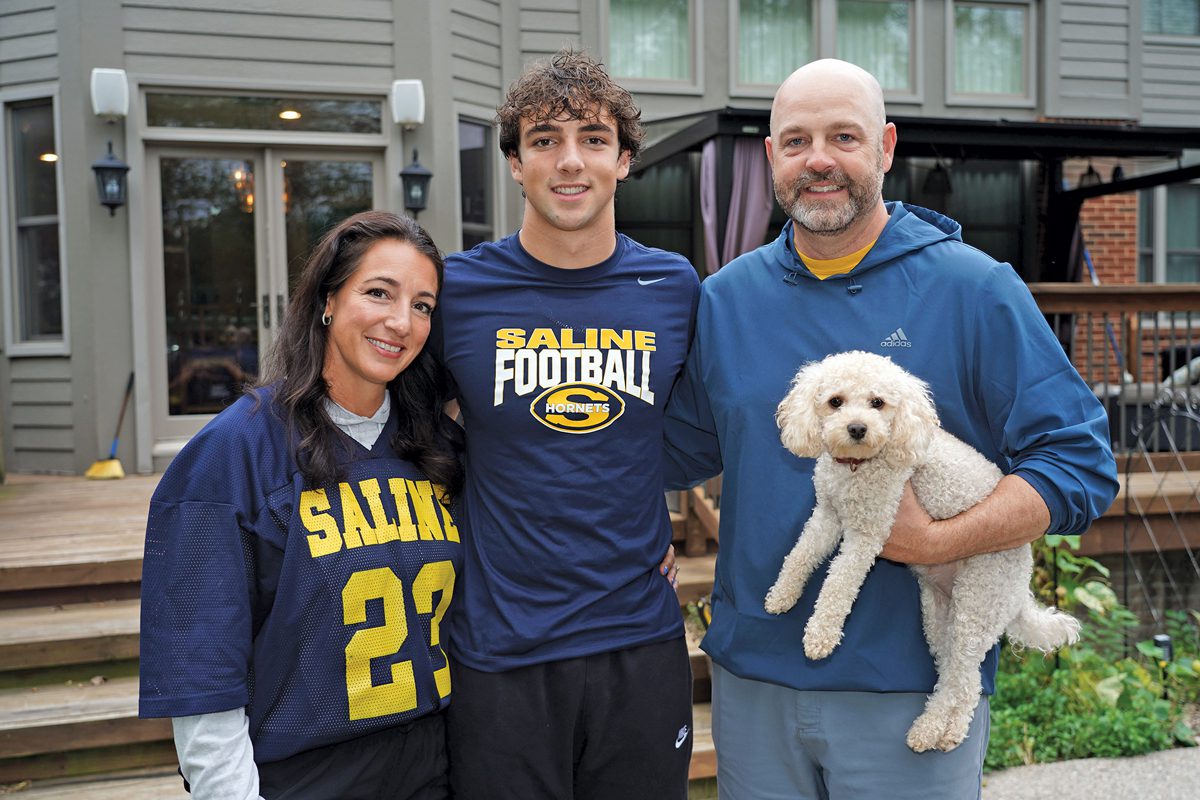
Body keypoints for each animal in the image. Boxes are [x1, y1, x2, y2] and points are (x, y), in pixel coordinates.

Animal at [763, 350, 1084, 753]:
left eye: (877, 402)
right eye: (835, 401)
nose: (857, 429)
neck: (857, 467)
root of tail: (1023, 585)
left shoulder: (870, 532)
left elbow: (839, 584)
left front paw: (820, 635)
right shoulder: (828, 515)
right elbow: (801, 554)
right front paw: (782, 595)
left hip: (977, 605)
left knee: (961, 682)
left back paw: (929, 731)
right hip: (940, 617)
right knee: (963, 682)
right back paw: (947, 731)